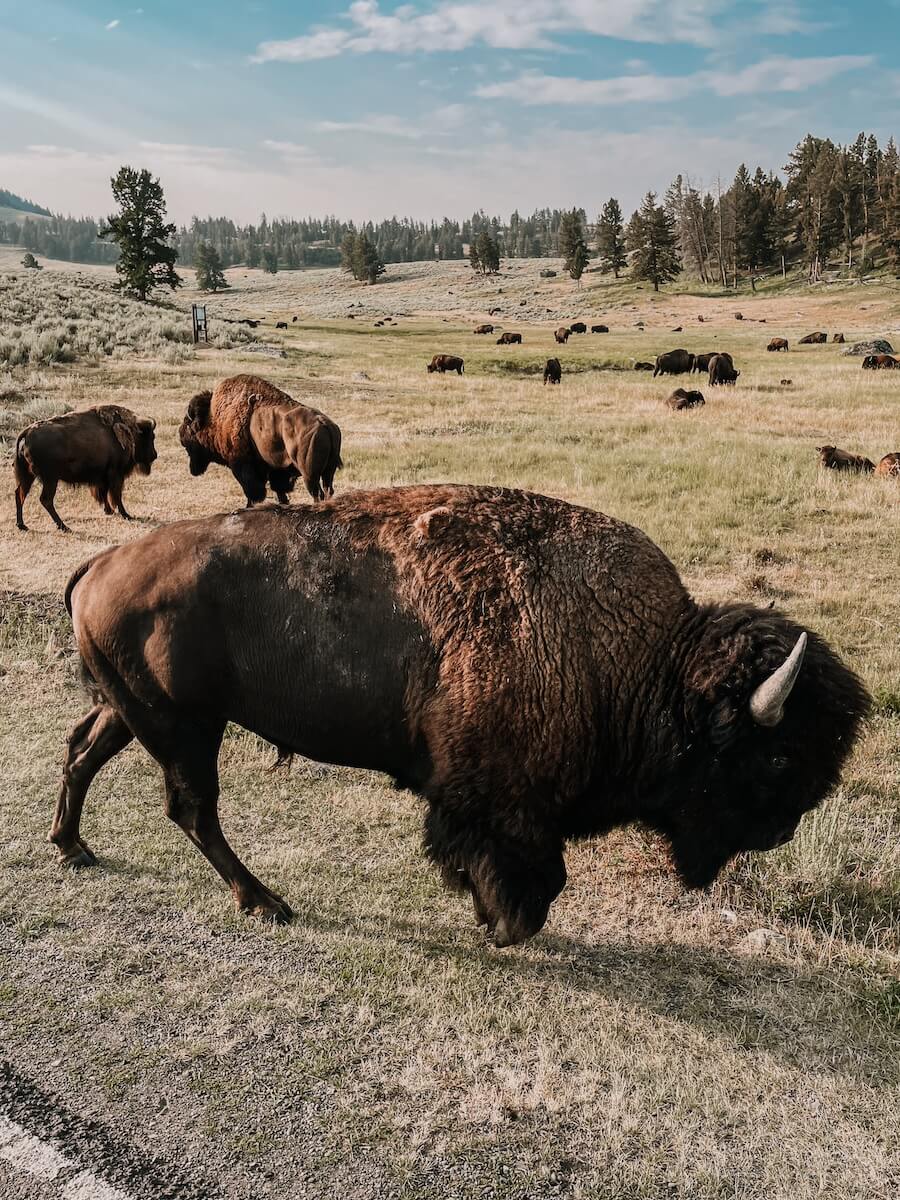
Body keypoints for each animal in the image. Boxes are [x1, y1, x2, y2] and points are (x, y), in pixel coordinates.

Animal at [14, 405, 157, 532]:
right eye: (150, 437)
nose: (155, 455)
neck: (126, 432)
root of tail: (27, 432)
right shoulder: (115, 474)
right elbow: (116, 496)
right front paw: (126, 515)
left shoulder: (103, 476)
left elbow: (104, 493)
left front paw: (109, 511)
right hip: (50, 479)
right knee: (45, 500)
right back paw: (64, 527)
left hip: (29, 476)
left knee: (20, 494)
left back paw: (22, 526)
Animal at [52, 482, 868, 940]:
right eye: (779, 755)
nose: (782, 831)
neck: (644, 661)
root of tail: (100, 564)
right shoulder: (496, 801)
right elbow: (530, 875)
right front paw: (501, 925)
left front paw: (486, 915)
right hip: (184, 727)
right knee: (191, 806)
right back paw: (265, 902)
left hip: (143, 714)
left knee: (83, 749)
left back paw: (73, 847)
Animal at [178, 374, 340, 506]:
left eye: (188, 425)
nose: (181, 435)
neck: (214, 417)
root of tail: (325, 424)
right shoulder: (276, 469)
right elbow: (279, 491)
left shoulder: (243, 465)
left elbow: (253, 493)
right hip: (328, 472)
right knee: (327, 491)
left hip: (309, 475)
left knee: (317, 493)